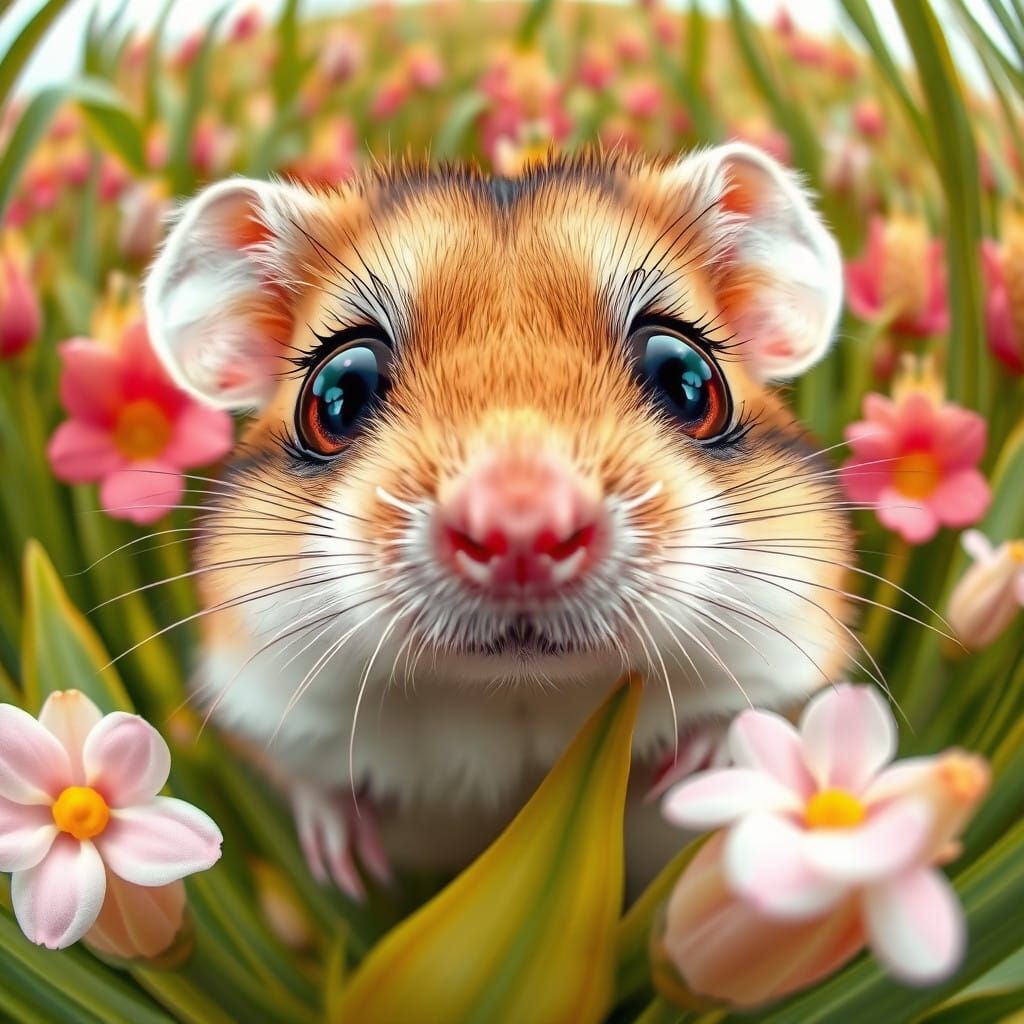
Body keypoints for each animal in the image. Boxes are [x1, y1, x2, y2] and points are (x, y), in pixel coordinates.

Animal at [144, 144, 852, 894]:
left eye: (687, 377)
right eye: (337, 393)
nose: (520, 529)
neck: (514, 704)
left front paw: (689, 772)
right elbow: (311, 784)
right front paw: (348, 869)